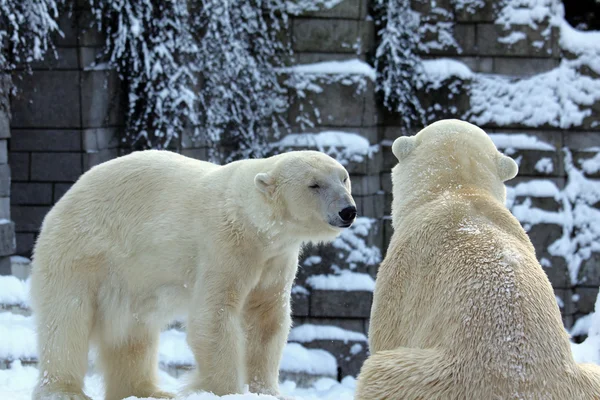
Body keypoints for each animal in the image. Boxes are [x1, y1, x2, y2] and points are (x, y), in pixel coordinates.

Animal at [29, 149, 356, 400]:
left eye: (343, 177)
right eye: (314, 185)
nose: (348, 210)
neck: (253, 222)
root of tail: (63, 201)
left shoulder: (275, 259)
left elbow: (266, 320)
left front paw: (268, 392)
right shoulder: (225, 246)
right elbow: (214, 315)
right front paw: (226, 391)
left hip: (130, 281)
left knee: (133, 334)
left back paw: (149, 391)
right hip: (81, 254)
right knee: (67, 319)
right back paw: (64, 391)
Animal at [354, 119, 600, 400]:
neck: (458, 190)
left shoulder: (403, 270)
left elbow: (387, 330)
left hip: (430, 381)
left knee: (378, 372)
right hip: (584, 382)